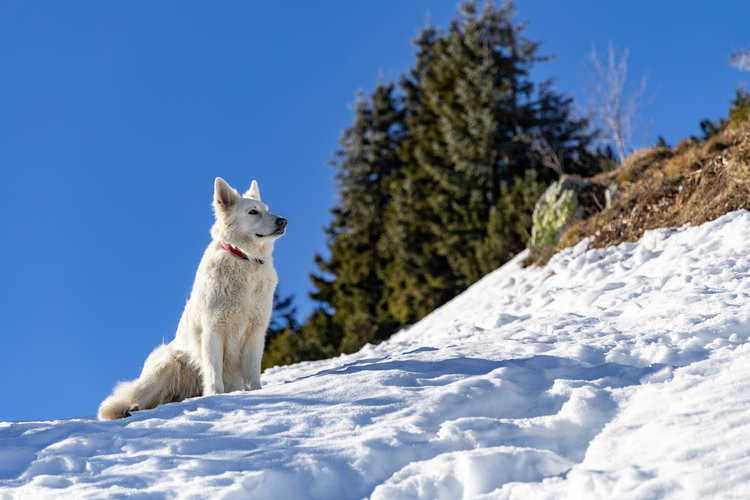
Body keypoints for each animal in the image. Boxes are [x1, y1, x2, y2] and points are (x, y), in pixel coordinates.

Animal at [98, 178, 286, 420]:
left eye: (268, 210)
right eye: (253, 212)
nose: (284, 221)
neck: (243, 259)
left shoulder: (255, 333)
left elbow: (253, 377)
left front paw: (256, 393)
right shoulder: (213, 331)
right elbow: (214, 377)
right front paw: (216, 399)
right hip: (167, 364)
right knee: (138, 401)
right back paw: (131, 410)